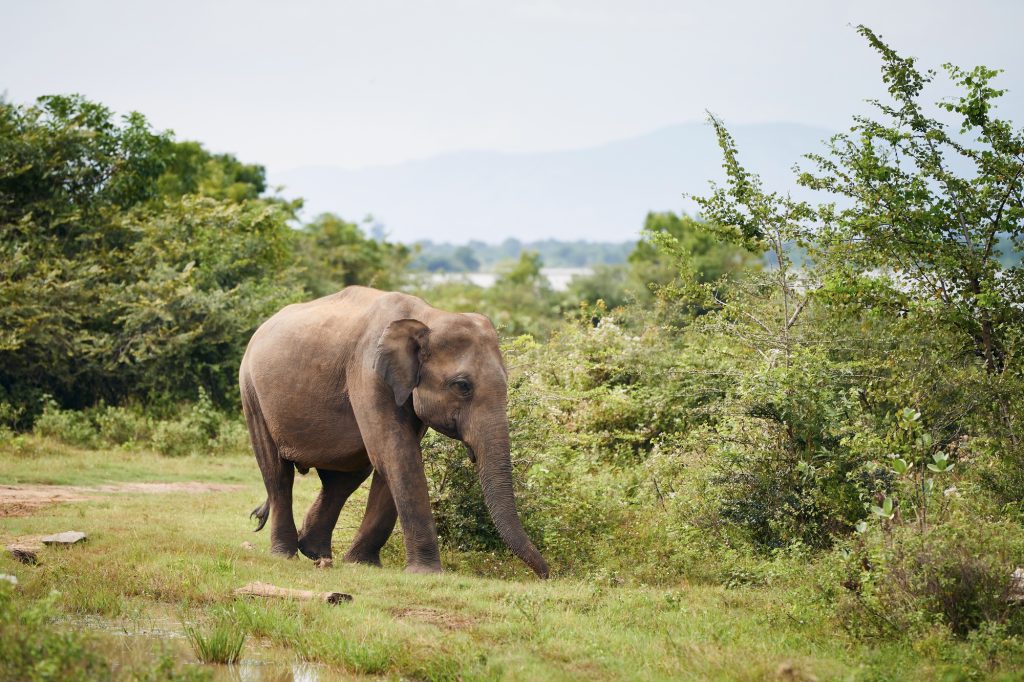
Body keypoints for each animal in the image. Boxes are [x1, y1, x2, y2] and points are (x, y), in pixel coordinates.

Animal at [239, 285, 549, 578]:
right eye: (462, 386)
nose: (545, 576)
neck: (428, 316)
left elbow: (393, 457)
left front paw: (361, 563)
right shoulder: (369, 373)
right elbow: (397, 453)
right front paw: (425, 572)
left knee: (344, 477)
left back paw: (315, 552)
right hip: (251, 391)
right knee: (277, 472)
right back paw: (285, 554)